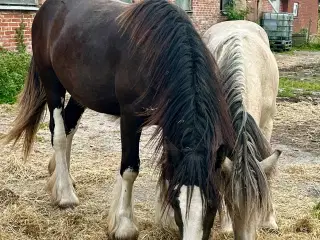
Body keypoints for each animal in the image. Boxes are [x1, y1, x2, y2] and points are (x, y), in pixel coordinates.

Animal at [1, 0, 238, 240]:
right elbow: (130, 169)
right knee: (58, 134)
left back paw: (62, 177)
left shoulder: (168, 124)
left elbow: (167, 166)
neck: (159, 56)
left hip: (80, 93)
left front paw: (166, 220)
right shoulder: (131, 120)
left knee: (68, 127)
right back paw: (65, 194)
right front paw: (124, 225)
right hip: (52, 84)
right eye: (176, 200)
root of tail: (46, 9)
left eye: (214, 202)